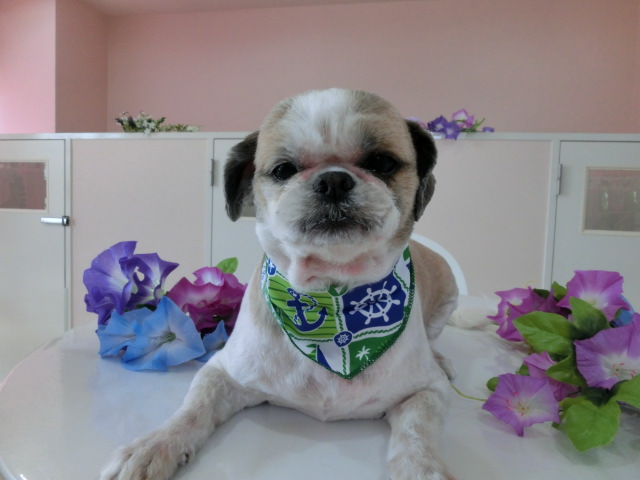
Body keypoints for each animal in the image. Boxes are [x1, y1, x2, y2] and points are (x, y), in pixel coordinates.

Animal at [100, 88, 458, 480]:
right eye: (283, 169)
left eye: (382, 162)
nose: (334, 180)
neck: (333, 294)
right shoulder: (223, 373)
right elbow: (193, 409)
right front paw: (155, 445)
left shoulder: (427, 391)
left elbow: (416, 432)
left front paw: (421, 469)